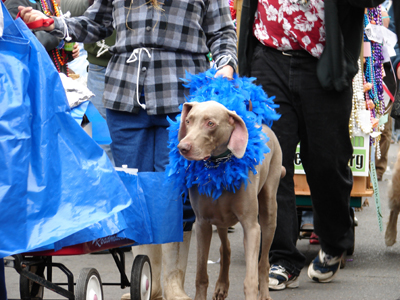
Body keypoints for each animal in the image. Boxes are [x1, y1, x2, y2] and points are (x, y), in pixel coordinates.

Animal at [177, 101, 282, 300]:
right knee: (225, 249)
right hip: (221, 219)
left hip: (269, 211)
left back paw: (264, 293)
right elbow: (201, 275)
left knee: (263, 261)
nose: (183, 147)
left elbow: (250, 280)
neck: (219, 163)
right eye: (188, 120)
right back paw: (221, 286)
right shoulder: (202, 223)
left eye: (210, 123)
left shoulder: (251, 226)